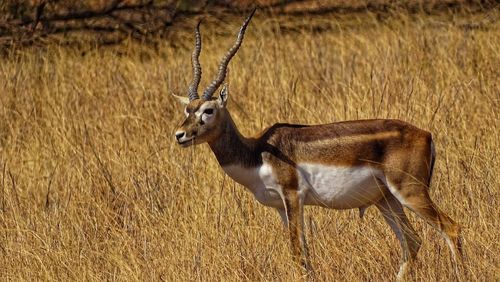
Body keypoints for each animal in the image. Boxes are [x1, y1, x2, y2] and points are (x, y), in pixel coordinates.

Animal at [171, 9, 460, 280]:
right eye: (187, 109)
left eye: (208, 110)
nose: (180, 135)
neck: (257, 153)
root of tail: (426, 134)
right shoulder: (281, 206)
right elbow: (303, 254)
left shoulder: (293, 196)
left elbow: (298, 252)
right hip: (386, 199)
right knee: (412, 241)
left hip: (410, 191)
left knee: (451, 228)